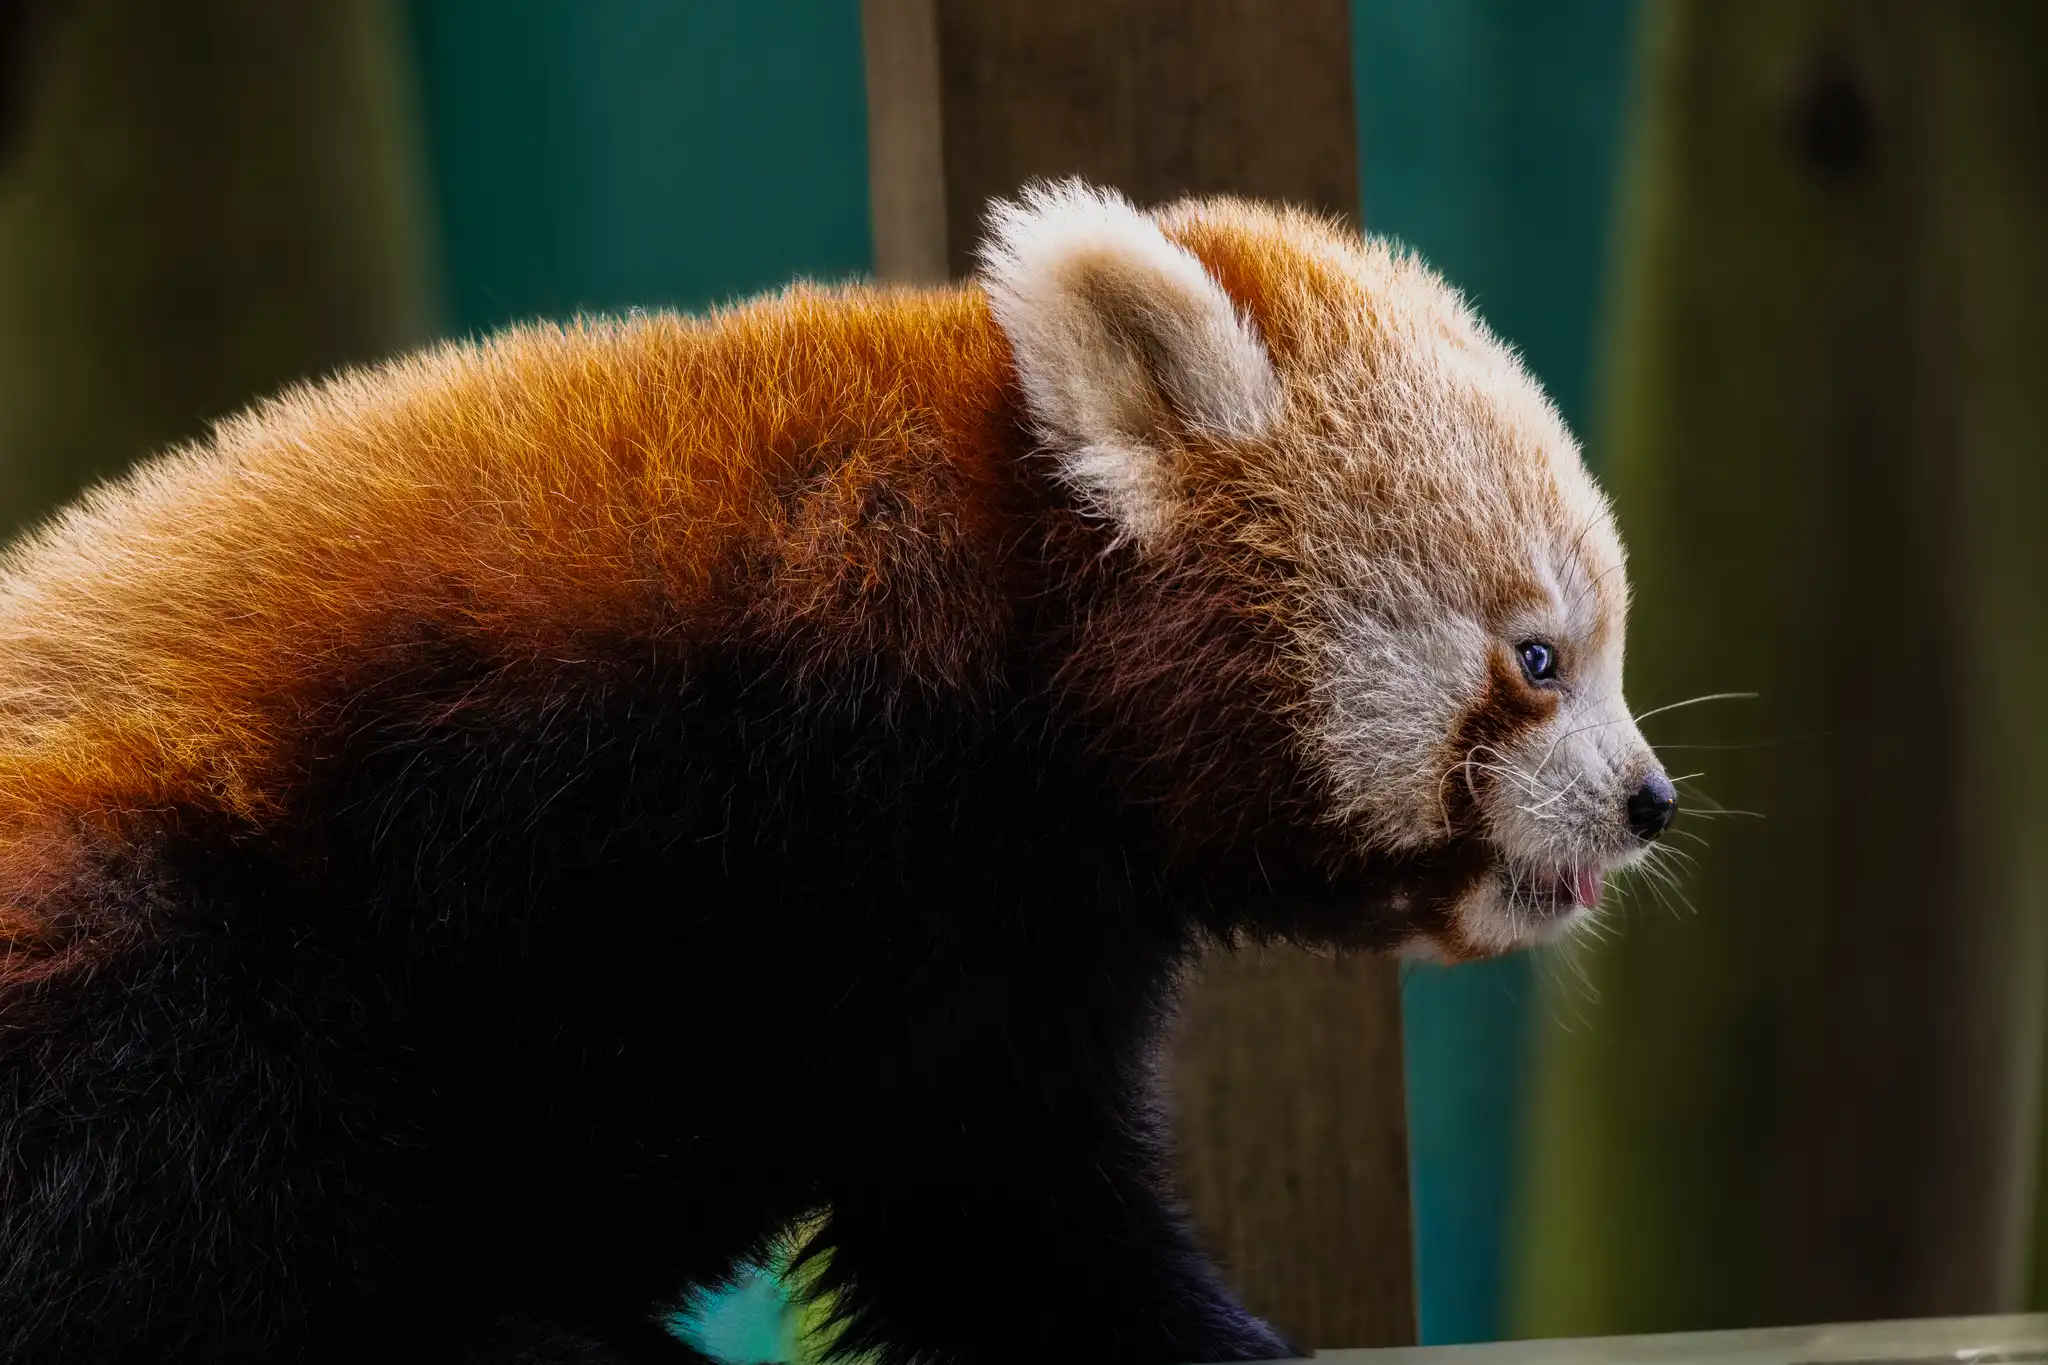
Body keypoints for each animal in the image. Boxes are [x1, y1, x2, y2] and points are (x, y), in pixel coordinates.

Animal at [0, 182, 1672, 1364]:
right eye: (1540, 658)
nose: (1649, 800)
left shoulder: (995, 939)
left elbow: (984, 1191)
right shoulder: (589, 761)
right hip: (119, 892)